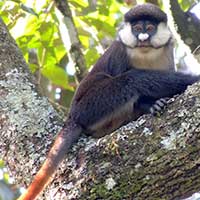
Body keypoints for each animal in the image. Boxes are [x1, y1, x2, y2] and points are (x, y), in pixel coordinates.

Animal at [17, 3, 200, 200]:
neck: (146, 54)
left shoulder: (167, 54)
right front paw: (152, 104)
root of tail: (72, 117)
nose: (142, 37)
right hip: (89, 107)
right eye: (137, 28)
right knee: (132, 79)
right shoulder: (119, 53)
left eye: (150, 28)